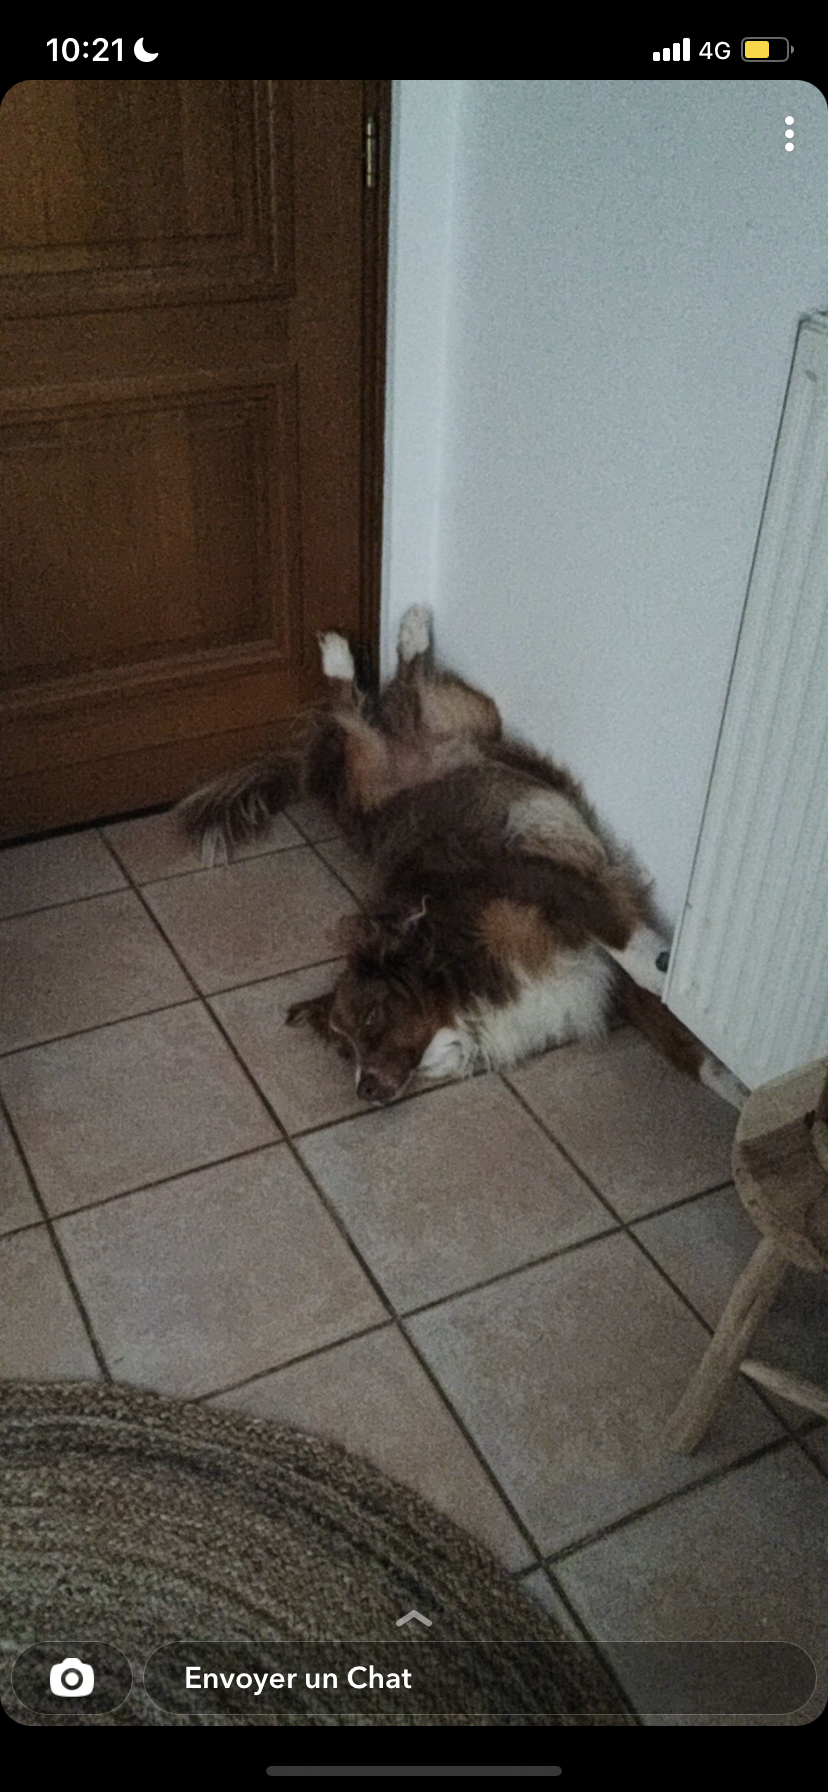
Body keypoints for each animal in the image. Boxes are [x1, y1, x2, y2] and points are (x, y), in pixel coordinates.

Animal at [179, 606, 746, 1110]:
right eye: (343, 1052)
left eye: (371, 1019)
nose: (364, 1091)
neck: (460, 976)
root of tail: (405, 748)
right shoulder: (592, 970)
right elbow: (680, 1045)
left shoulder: (545, 882)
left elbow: (650, 983)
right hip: (384, 778)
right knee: (371, 704)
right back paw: (384, 643)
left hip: (447, 726)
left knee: (364, 706)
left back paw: (364, 647)